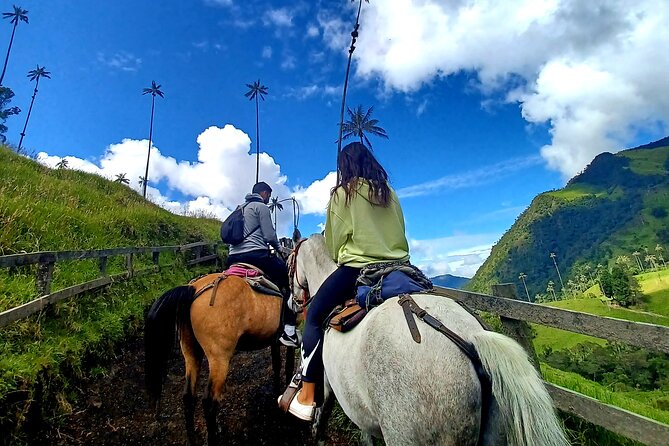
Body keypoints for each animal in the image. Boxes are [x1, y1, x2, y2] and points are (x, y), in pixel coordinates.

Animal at [145, 274, 294, 444]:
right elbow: (288, 365)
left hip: (191, 353)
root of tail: (193, 289)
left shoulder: (273, 338)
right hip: (219, 359)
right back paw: (213, 438)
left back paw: (193, 439)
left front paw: (277, 391)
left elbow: (276, 363)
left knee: (188, 396)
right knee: (209, 402)